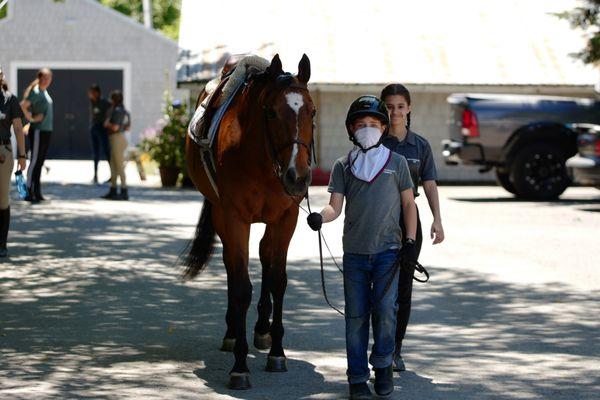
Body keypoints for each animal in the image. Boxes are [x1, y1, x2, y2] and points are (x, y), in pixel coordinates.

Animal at [183, 54, 314, 390]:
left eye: (312, 111)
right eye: (272, 112)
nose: (298, 176)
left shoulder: (286, 218)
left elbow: (278, 280)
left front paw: (277, 352)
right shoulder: (234, 218)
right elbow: (241, 286)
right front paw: (239, 366)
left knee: (266, 257)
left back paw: (263, 330)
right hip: (221, 215)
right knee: (232, 265)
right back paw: (233, 332)